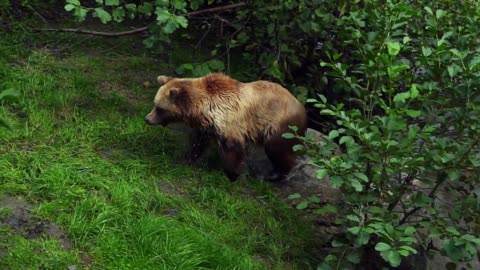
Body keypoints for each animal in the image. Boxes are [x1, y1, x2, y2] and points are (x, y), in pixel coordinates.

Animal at [143, 73, 308, 180]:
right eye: (155, 103)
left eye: (160, 108)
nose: (147, 119)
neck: (202, 109)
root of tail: (302, 108)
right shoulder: (206, 126)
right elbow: (197, 142)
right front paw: (187, 158)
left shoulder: (229, 121)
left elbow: (232, 147)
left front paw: (232, 174)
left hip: (279, 125)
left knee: (276, 148)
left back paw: (276, 174)